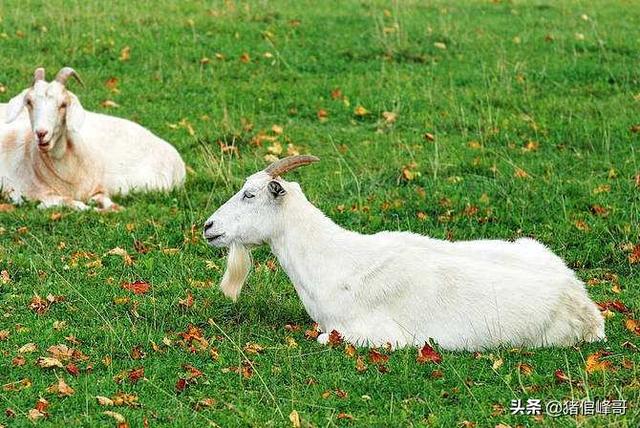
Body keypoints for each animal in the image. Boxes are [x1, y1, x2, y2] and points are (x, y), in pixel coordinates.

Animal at [0, 66, 185, 211]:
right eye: (29, 102)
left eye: (63, 104)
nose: (41, 133)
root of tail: (178, 167)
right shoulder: (30, 194)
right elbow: (77, 205)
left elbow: (104, 200)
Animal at [204, 155, 604, 350]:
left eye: (249, 194)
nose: (208, 227)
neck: (336, 261)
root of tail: (587, 309)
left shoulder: (379, 335)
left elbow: (322, 337)